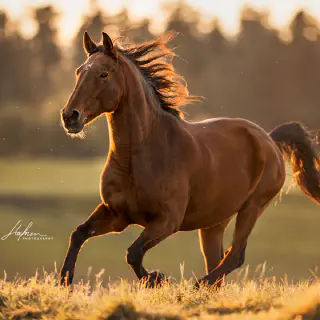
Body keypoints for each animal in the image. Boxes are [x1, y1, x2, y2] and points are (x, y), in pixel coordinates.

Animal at [59, 31, 320, 288]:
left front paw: (158, 279)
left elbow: (133, 253)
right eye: (79, 72)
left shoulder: (167, 221)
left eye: (103, 73)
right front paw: (64, 280)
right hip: (214, 222)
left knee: (234, 256)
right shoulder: (116, 214)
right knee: (218, 261)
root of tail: (270, 139)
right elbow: (79, 233)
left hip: (252, 207)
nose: (70, 116)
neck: (137, 158)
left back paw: (195, 286)